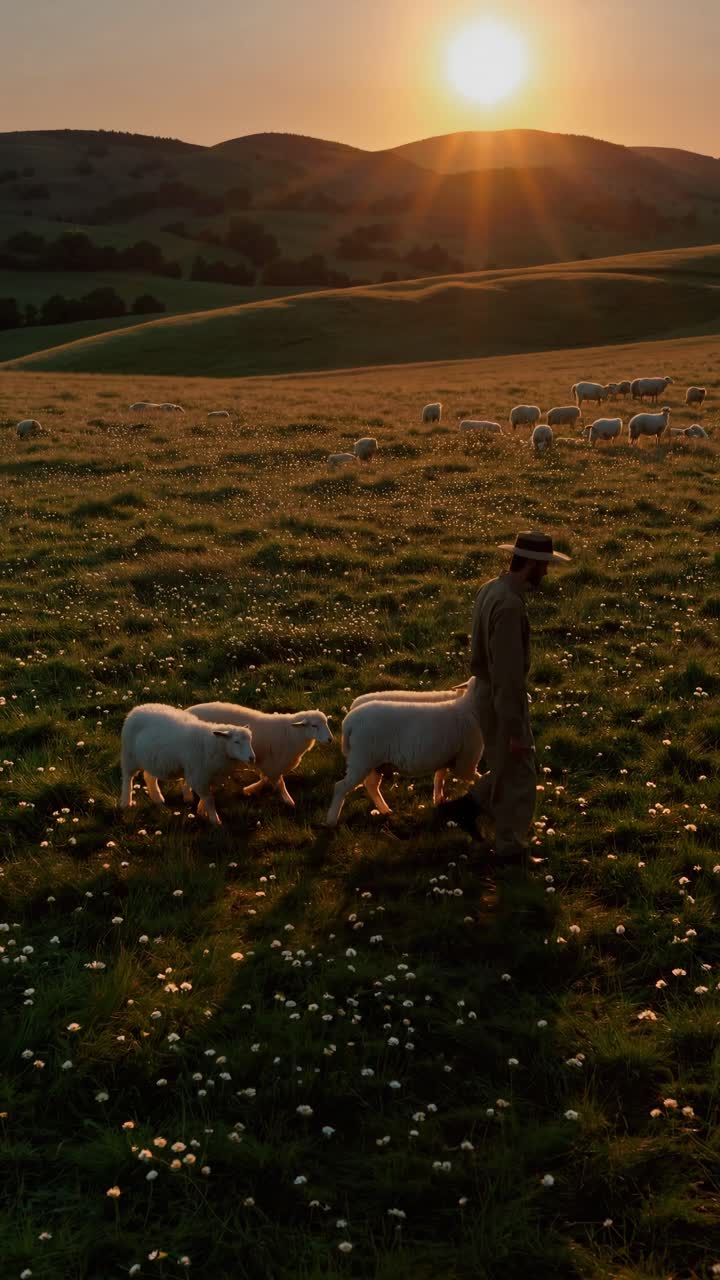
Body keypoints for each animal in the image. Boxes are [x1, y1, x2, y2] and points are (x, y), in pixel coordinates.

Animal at [120, 704, 255, 826]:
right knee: (127, 778)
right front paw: (215, 821)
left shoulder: (208, 775)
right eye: (236, 742)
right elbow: (209, 799)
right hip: (129, 755)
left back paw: (158, 799)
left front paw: (201, 810)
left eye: (250, 740)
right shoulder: (198, 775)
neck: (212, 744)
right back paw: (126, 802)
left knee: (149, 777)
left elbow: (206, 797)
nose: (252, 758)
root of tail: (137, 709)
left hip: (153, 760)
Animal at [187, 703, 332, 807]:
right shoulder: (272, 764)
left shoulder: (270, 764)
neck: (292, 733)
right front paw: (288, 800)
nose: (330, 739)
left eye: (326, 722)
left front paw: (250, 789)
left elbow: (266, 778)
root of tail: (187, 711)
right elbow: (279, 783)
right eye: (314, 725)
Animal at [325, 680, 484, 826]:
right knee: (340, 787)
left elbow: (439, 778)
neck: (469, 707)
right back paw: (331, 820)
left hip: (374, 763)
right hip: (362, 760)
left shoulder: (447, 758)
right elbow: (477, 778)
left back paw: (385, 810)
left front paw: (438, 799)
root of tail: (348, 722)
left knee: (370, 785)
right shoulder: (466, 761)